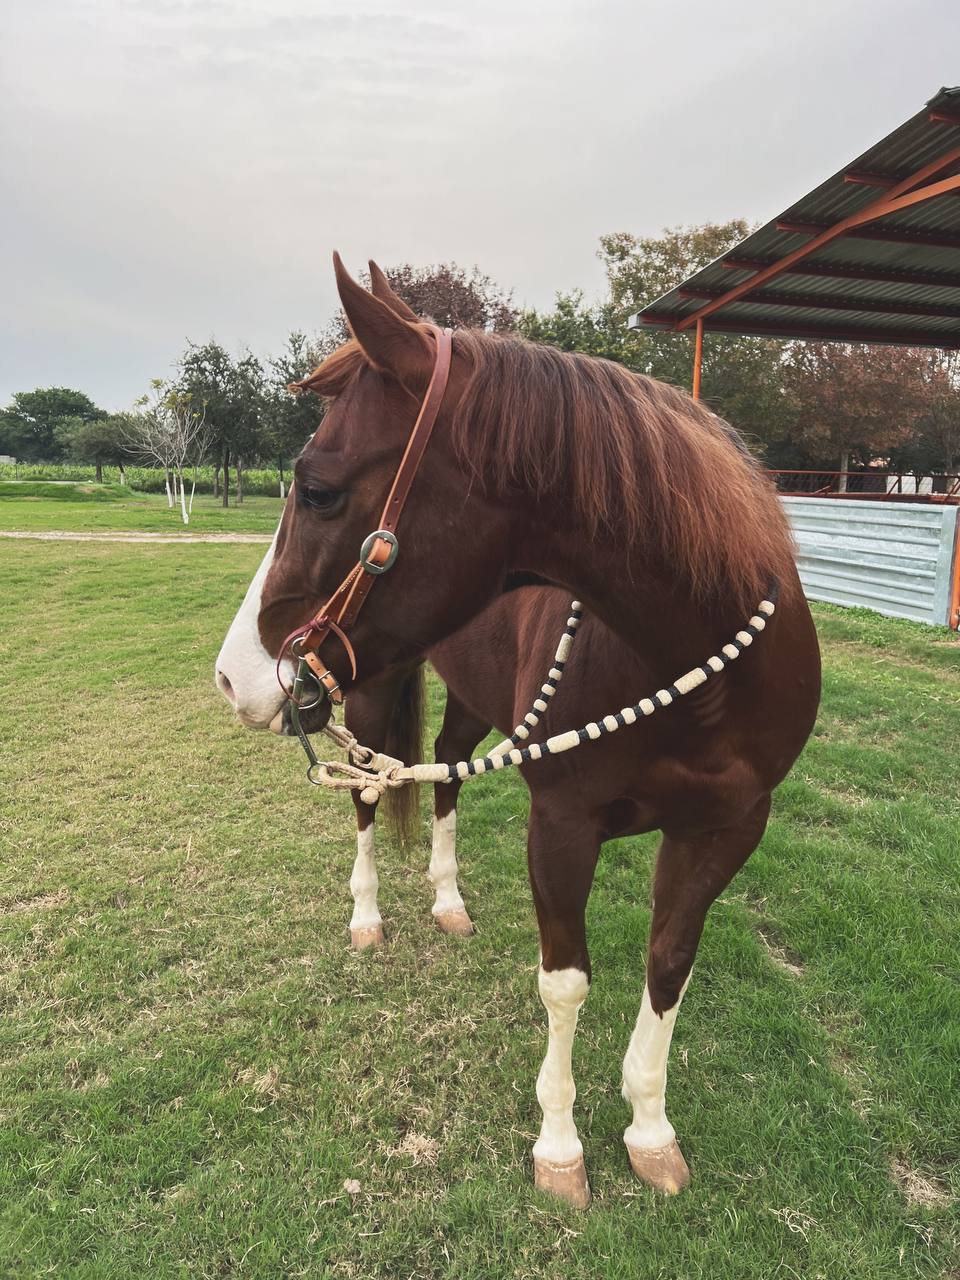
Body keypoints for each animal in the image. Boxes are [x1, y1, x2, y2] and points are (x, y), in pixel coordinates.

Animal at [216, 262, 819, 1208]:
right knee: (367, 793)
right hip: (366, 690)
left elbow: (669, 963)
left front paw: (650, 1130)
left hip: (469, 698)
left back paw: (448, 900)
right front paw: (561, 1147)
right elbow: (566, 984)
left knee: (447, 778)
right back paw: (367, 914)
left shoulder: (727, 827)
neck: (697, 667)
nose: (235, 674)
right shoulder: (562, 826)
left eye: (316, 489)